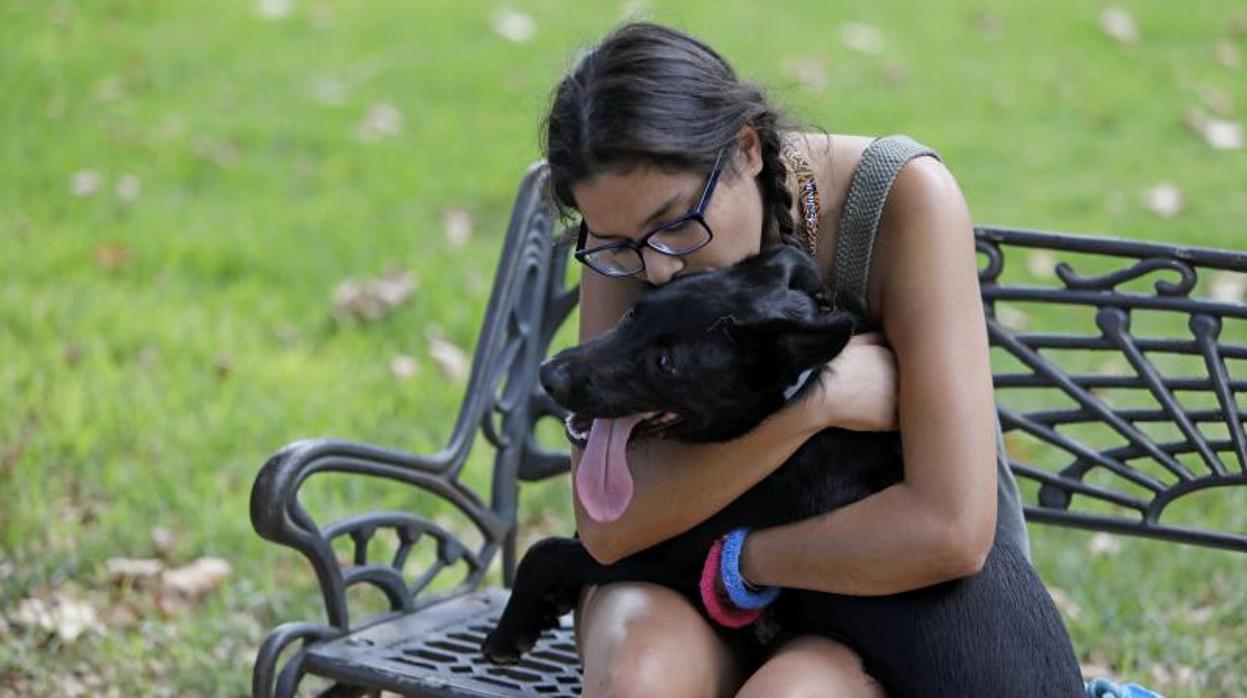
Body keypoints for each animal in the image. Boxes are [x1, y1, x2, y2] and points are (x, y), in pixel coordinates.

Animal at [481, 245, 1087, 698]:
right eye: (634, 314)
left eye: (666, 363)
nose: (549, 375)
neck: (792, 399)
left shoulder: (678, 554)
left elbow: (549, 550)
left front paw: (510, 632)